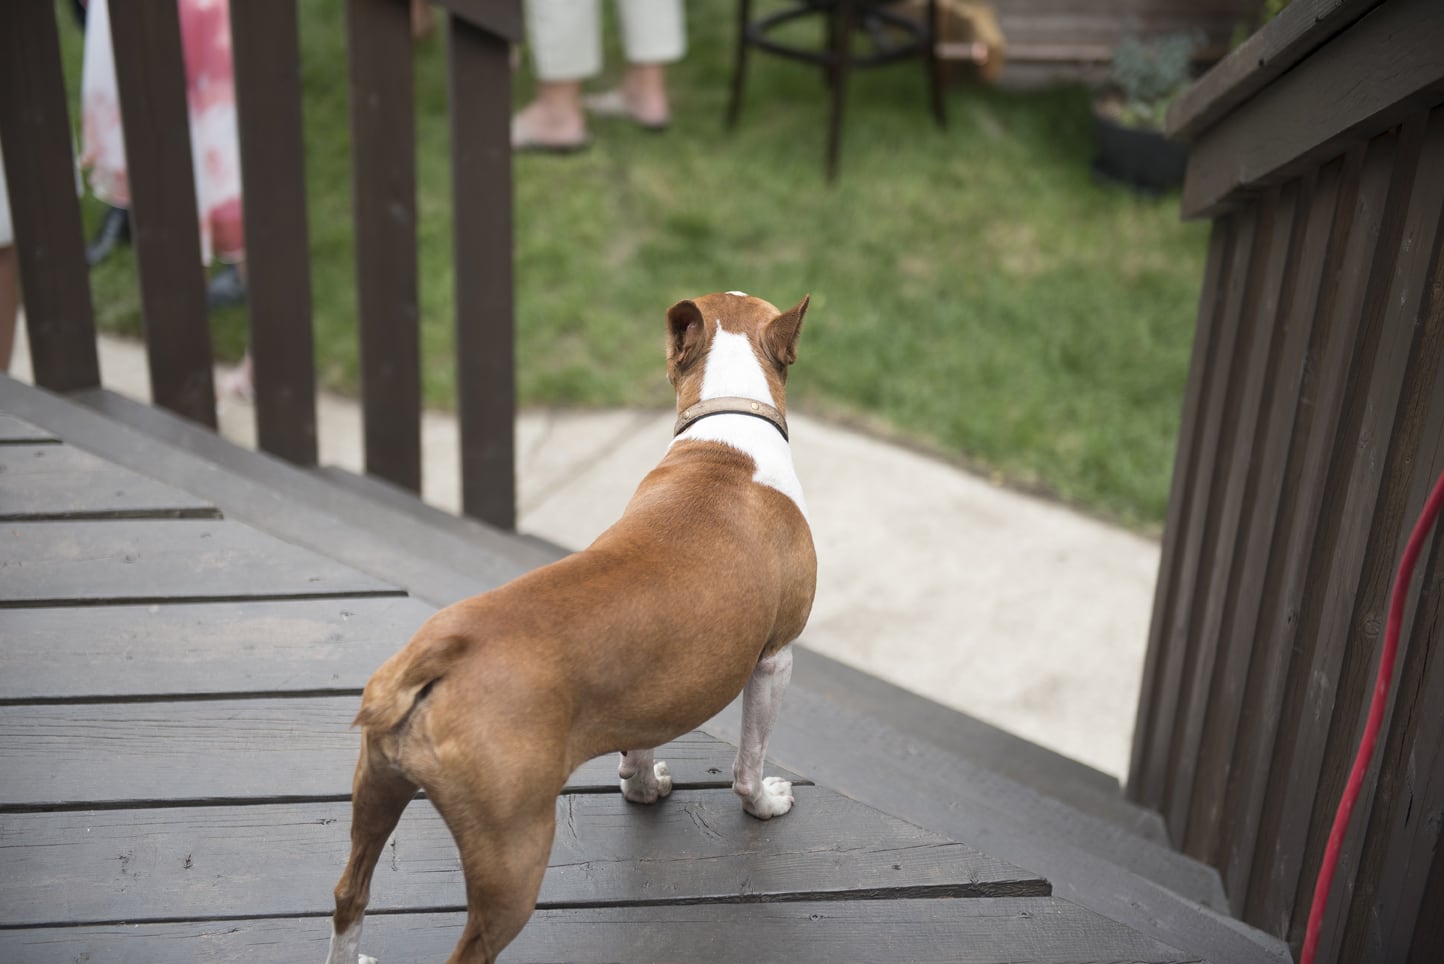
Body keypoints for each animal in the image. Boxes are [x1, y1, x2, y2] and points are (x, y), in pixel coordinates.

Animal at [330, 291, 820, 964]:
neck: (728, 442)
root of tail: (442, 654)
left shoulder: (650, 691)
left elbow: (638, 747)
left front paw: (643, 789)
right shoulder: (775, 658)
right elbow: (748, 762)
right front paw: (765, 804)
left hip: (374, 794)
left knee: (350, 895)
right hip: (514, 863)